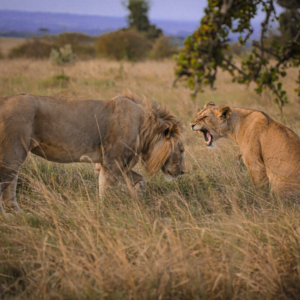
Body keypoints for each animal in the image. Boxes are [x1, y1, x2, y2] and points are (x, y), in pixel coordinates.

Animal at [0, 91, 185, 213]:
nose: (183, 172)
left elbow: (141, 180)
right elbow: (106, 190)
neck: (144, 127)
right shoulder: (112, 163)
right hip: (13, 151)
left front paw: (138, 198)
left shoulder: (118, 164)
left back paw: (17, 213)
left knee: (11, 185)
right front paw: (105, 211)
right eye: (182, 150)